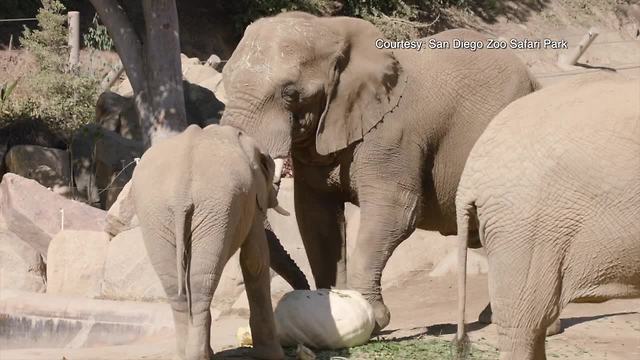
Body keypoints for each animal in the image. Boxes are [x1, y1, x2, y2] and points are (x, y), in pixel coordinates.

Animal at [134, 124, 298, 360]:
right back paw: (197, 355)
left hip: (160, 213)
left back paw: (188, 355)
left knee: (177, 284)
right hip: (211, 207)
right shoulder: (251, 198)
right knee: (201, 281)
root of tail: (180, 189)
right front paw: (274, 356)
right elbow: (255, 259)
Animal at [220, 11, 540, 330]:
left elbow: (396, 211)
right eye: (225, 82)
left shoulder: (393, 136)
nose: (303, 292)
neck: (333, 30)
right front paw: (333, 310)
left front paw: (371, 318)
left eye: (289, 93)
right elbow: (315, 217)